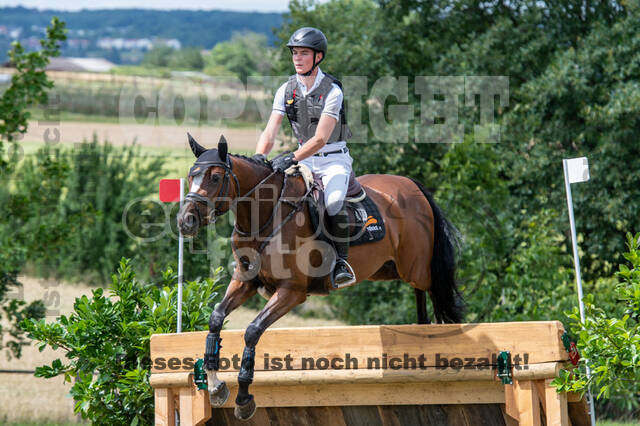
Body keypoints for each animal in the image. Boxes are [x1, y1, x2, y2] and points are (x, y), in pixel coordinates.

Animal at [176, 134, 464, 420]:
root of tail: (411, 185)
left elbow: (253, 331)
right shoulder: (246, 282)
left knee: (435, 291)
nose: (185, 221)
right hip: (387, 269)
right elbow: (216, 318)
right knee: (420, 295)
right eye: (191, 176)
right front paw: (215, 385)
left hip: (417, 268)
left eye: (215, 177)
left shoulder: (292, 291)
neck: (265, 216)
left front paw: (244, 398)